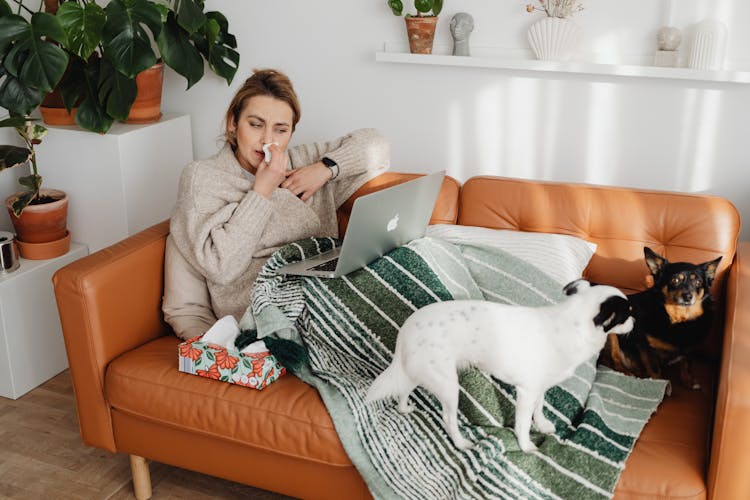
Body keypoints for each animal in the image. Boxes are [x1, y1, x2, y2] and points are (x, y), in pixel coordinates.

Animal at [368, 280, 632, 452]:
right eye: (627, 314)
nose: (635, 320)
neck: (571, 324)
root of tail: (405, 331)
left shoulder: (539, 388)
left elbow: (539, 408)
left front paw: (543, 424)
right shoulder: (526, 392)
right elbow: (523, 423)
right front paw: (526, 446)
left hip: (419, 372)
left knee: (403, 391)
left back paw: (404, 409)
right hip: (448, 385)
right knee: (448, 419)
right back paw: (461, 443)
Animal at [604, 247, 724, 390]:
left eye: (698, 282)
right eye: (675, 280)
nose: (688, 296)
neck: (677, 319)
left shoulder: (689, 348)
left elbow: (687, 364)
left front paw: (688, 381)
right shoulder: (646, 348)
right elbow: (656, 371)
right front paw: (661, 387)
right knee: (615, 362)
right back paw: (627, 372)